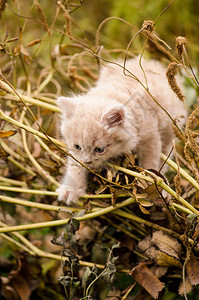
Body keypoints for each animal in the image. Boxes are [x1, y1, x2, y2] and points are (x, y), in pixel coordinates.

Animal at [56, 57, 186, 205]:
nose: (88, 162)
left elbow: (149, 164)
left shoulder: (151, 138)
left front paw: (151, 186)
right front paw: (70, 189)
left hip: (169, 128)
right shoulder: (75, 154)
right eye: (77, 147)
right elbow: (75, 166)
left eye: (99, 149)